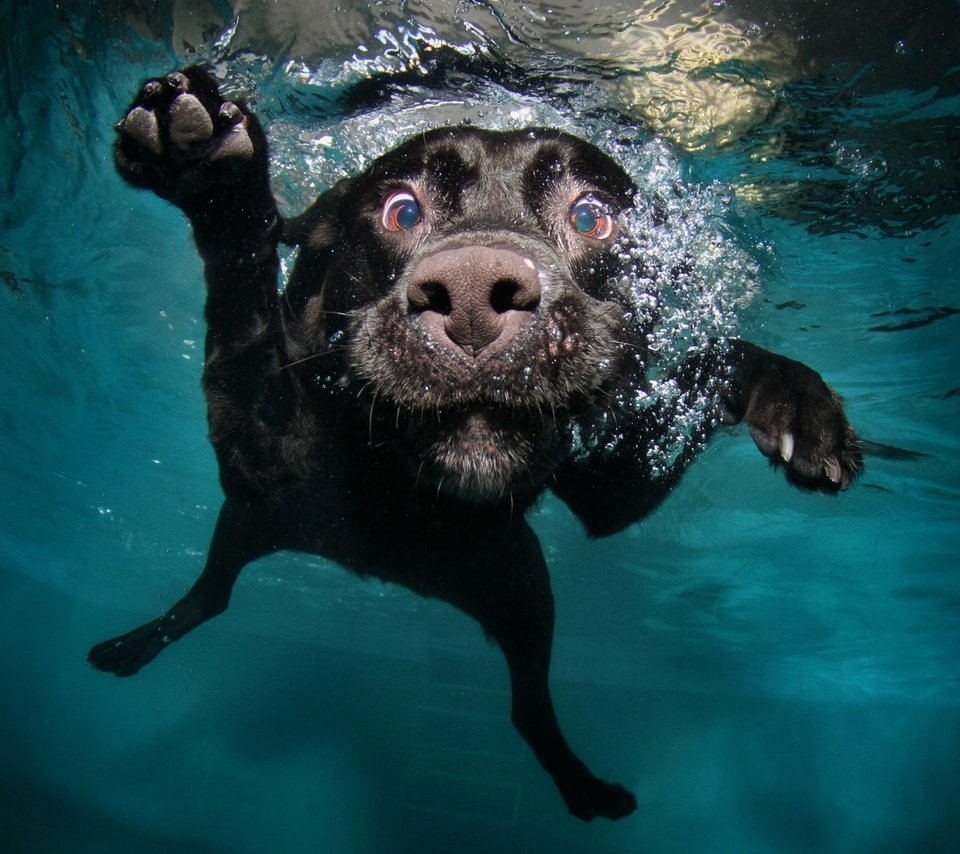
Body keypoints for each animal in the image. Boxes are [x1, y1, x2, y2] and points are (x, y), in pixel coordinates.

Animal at [86, 68, 860, 824]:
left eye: (590, 215)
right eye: (401, 211)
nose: (470, 295)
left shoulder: (613, 486)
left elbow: (713, 361)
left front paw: (794, 398)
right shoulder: (258, 453)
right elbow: (243, 308)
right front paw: (212, 171)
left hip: (520, 587)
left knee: (526, 709)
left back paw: (585, 788)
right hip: (254, 523)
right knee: (212, 596)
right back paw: (132, 646)